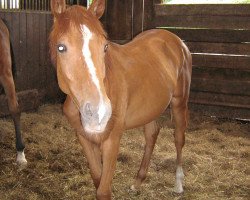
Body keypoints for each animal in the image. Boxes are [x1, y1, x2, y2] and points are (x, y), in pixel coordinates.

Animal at [49, 0, 192, 199]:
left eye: (105, 46)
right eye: (61, 47)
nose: (99, 114)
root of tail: (176, 40)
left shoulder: (112, 140)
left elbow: (103, 190)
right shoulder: (84, 138)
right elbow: (97, 179)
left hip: (179, 102)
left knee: (179, 138)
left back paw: (178, 183)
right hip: (150, 108)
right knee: (152, 134)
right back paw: (138, 181)